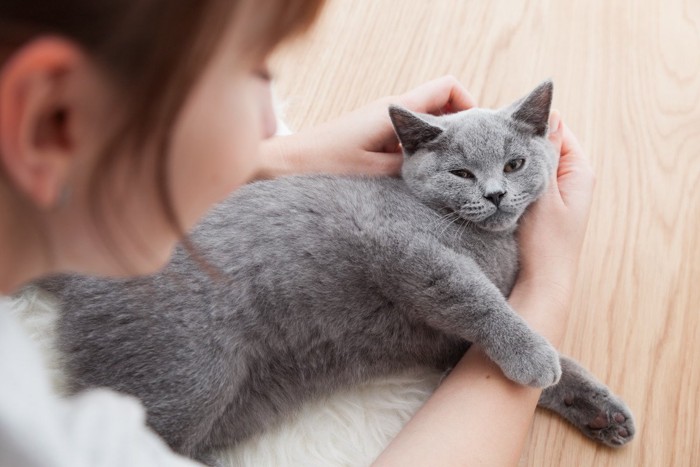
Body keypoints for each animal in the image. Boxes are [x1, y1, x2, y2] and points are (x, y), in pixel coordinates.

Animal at [41, 81, 636, 464]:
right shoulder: (405, 249)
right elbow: (479, 299)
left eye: (515, 164)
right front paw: (534, 359)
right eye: (462, 173)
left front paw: (599, 410)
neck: (490, 242)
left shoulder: (452, 346)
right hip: (186, 378)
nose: (495, 194)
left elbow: (549, 357)